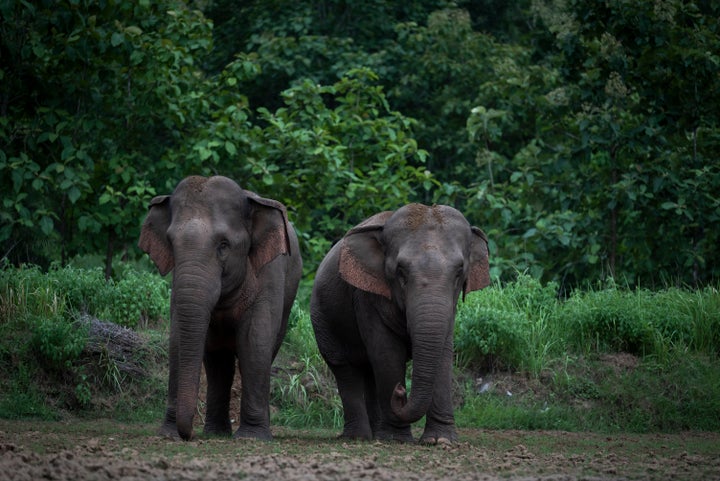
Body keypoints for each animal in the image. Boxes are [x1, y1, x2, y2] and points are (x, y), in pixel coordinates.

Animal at [139, 174, 302, 440]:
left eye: (224, 245)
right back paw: (217, 432)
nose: (187, 435)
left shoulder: (269, 274)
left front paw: (251, 437)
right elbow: (177, 340)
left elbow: (254, 341)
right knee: (219, 361)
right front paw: (168, 433)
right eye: (171, 243)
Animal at [310, 202, 490, 442]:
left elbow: (444, 353)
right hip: (323, 318)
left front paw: (440, 441)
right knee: (345, 369)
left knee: (369, 371)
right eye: (400, 271)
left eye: (460, 271)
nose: (401, 391)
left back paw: (376, 434)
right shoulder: (367, 297)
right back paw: (360, 437)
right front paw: (397, 439)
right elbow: (387, 353)